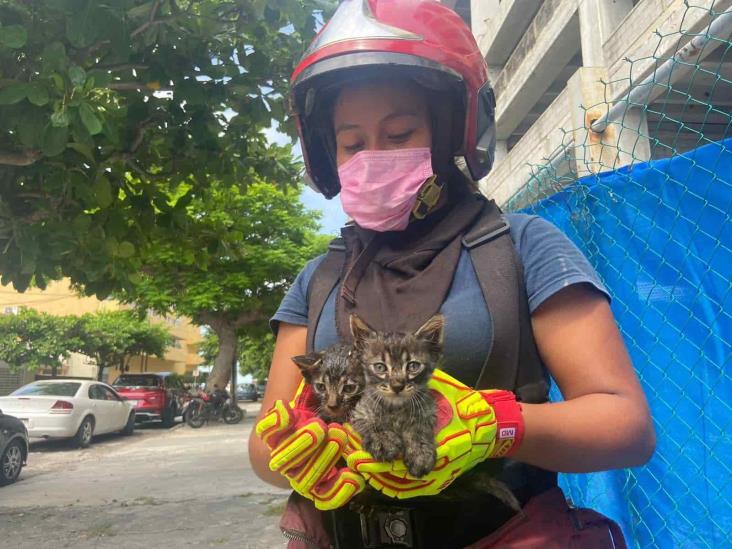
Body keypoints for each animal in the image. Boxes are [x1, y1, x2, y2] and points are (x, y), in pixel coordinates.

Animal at [350, 314, 446, 478]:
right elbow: (372, 422)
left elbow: (419, 428)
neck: (396, 409)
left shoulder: (428, 409)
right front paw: (383, 440)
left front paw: (420, 452)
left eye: (413, 366)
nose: (397, 386)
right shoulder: (360, 411)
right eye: (380, 367)